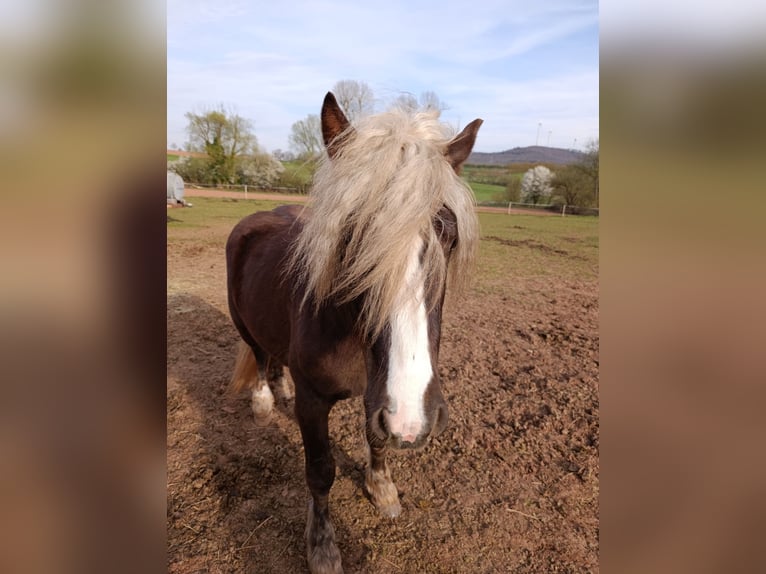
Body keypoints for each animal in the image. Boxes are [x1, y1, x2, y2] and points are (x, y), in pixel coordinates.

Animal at [226, 92, 482, 574]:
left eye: (449, 236)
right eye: (352, 238)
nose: (413, 419)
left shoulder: (376, 394)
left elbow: (376, 441)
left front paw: (382, 490)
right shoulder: (316, 404)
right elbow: (320, 471)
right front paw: (323, 546)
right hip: (242, 322)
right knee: (261, 355)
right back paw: (265, 400)